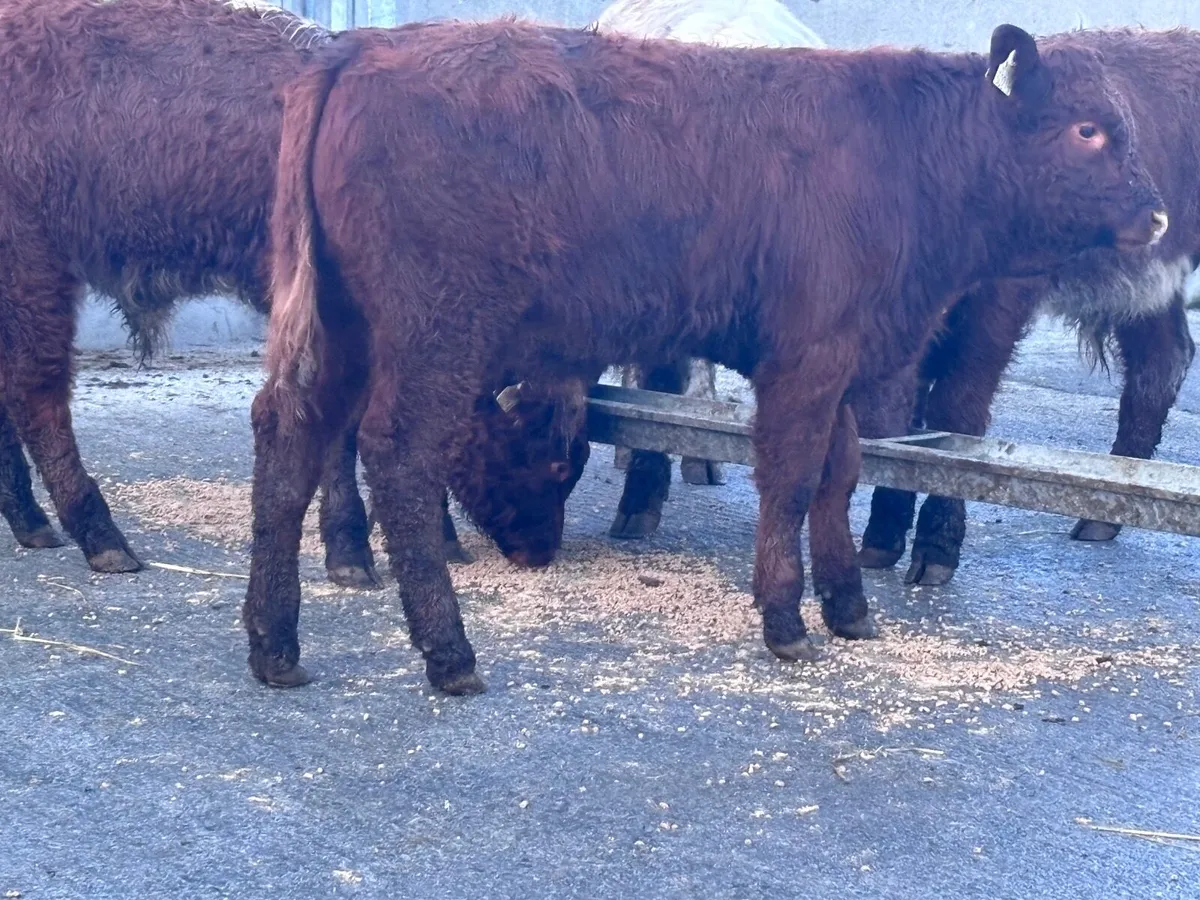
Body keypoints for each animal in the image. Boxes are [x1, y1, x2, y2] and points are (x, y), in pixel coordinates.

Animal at [0, 0, 581, 585]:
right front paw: (350, 550)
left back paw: (32, 522)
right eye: (549, 457)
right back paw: (101, 537)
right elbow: (343, 431)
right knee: (38, 393)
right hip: (35, 266)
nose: (540, 551)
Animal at [856, 27, 1200, 587]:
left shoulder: (999, 306)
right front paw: (882, 536)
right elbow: (904, 422)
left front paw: (936, 546)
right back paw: (1104, 514)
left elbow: (957, 414)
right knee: (1161, 360)